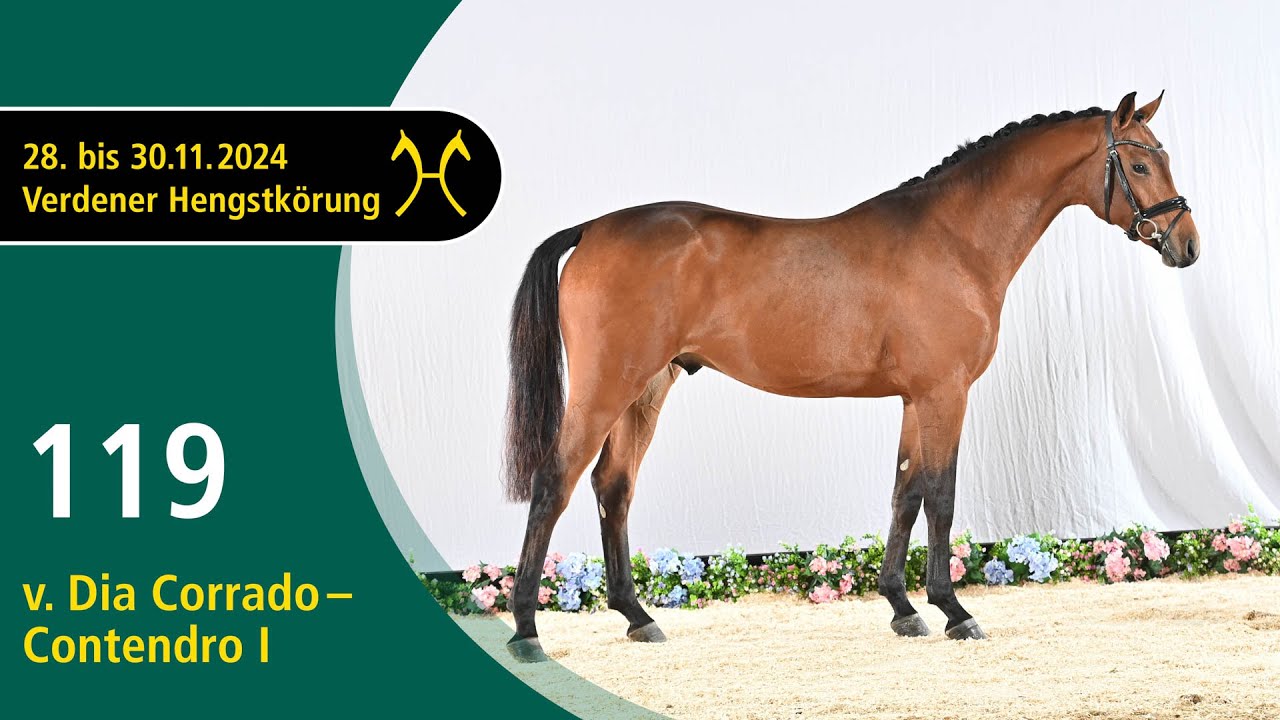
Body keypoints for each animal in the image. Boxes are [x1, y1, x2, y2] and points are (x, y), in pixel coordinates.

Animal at [500, 92, 1198, 662]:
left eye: (1163, 157)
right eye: (1140, 166)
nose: (1187, 244)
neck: (954, 239)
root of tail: (593, 229)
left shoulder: (916, 399)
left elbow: (905, 493)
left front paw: (903, 607)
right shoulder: (945, 394)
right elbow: (941, 496)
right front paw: (954, 611)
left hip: (646, 389)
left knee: (613, 486)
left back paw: (637, 617)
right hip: (604, 389)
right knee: (554, 482)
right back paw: (527, 630)